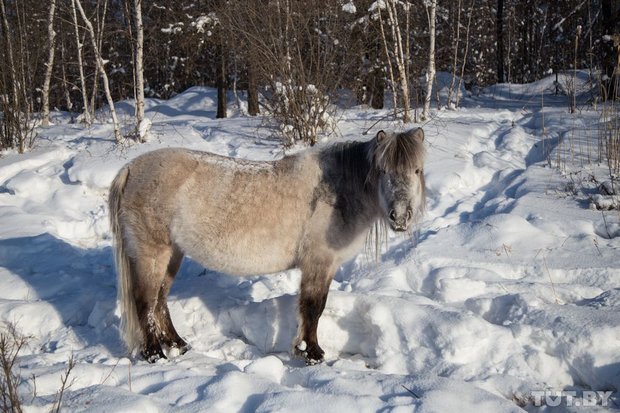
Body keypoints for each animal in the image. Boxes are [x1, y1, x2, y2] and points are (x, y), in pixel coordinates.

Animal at [108, 128, 426, 364]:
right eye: (382, 170)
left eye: (417, 170)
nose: (400, 216)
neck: (338, 191)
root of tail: (130, 169)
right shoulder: (319, 263)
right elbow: (313, 308)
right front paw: (311, 353)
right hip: (152, 253)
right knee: (145, 302)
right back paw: (154, 353)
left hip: (173, 254)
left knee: (160, 301)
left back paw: (178, 344)